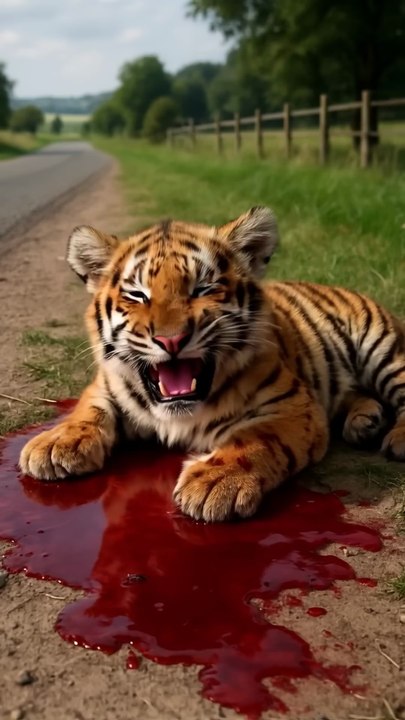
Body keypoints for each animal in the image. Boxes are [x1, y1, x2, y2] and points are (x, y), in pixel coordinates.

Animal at [19, 207, 405, 522]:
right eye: (138, 295)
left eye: (202, 289)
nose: (171, 340)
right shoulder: (107, 383)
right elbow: (90, 409)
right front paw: (55, 443)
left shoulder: (295, 406)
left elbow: (256, 437)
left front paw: (214, 482)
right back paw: (364, 421)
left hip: (383, 349)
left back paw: (394, 438)